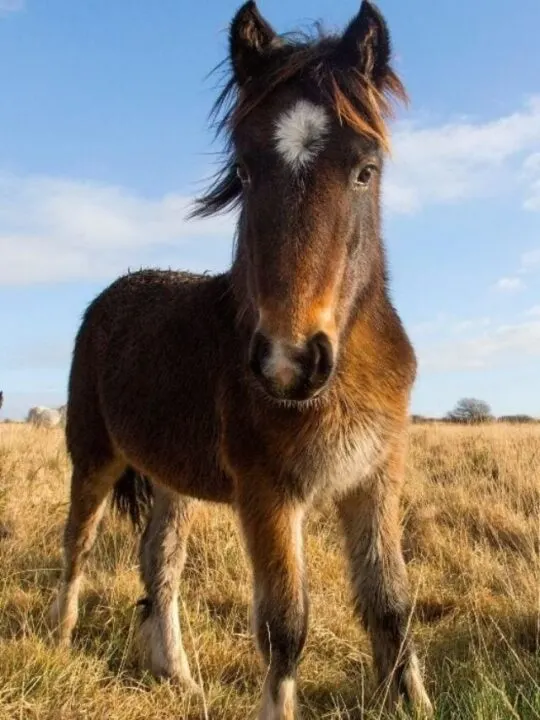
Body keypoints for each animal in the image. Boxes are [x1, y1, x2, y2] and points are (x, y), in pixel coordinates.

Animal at [49, 2, 433, 717]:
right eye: (247, 172)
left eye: (365, 169)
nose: (288, 361)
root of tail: (110, 295)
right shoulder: (268, 492)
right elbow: (286, 625)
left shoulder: (375, 478)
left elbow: (392, 606)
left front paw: (415, 702)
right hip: (94, 455)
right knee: (77, 542)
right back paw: (60, 637)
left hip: (171, 476)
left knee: (160, 559)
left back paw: (175, 674)